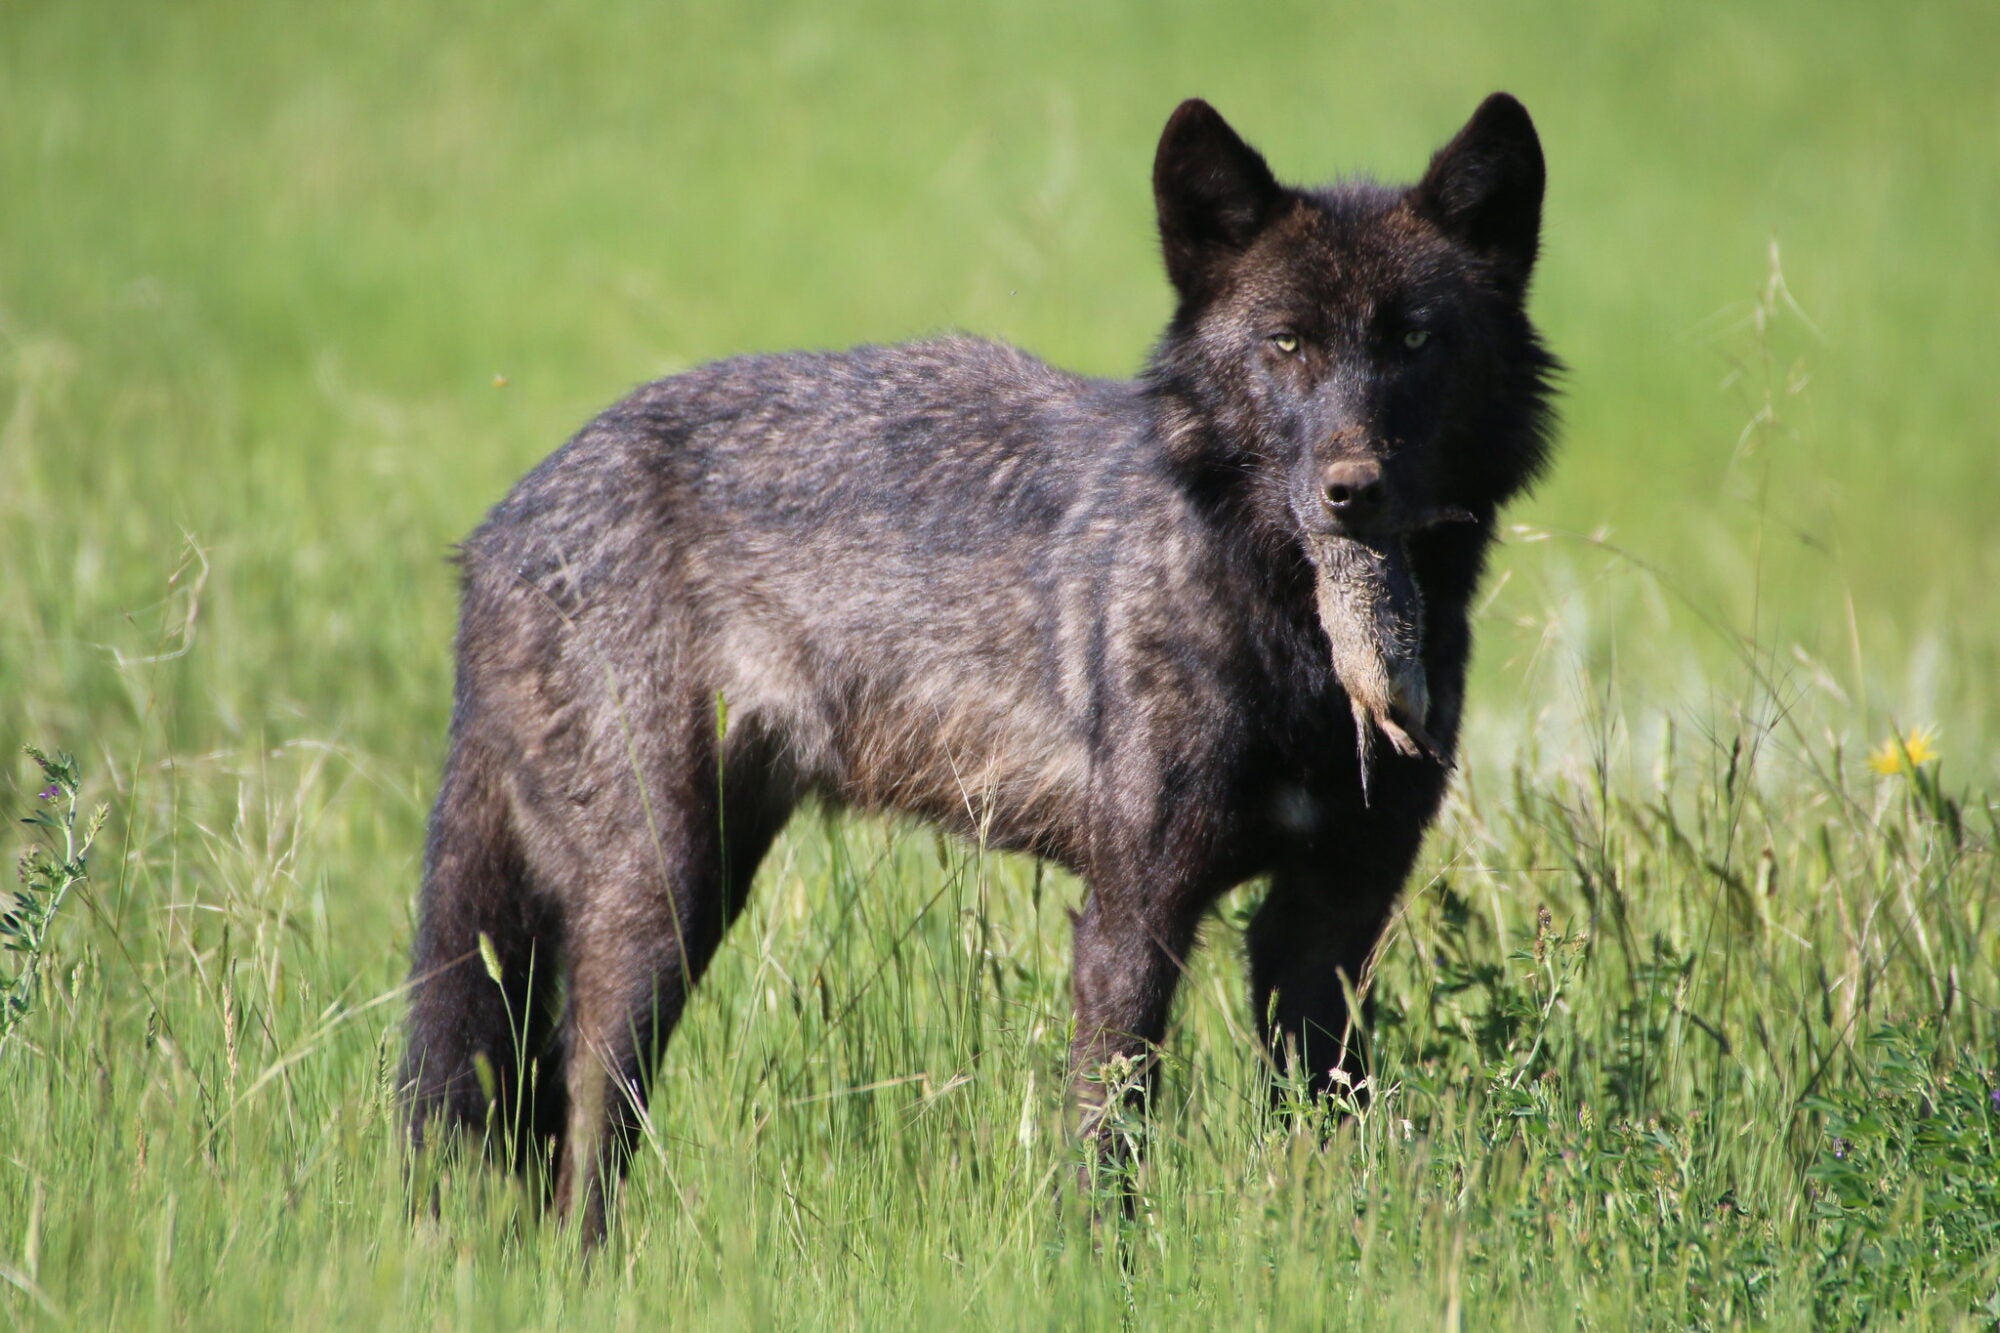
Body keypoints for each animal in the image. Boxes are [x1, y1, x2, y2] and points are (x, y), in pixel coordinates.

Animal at [402, 93, 1556, 1241]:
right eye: (1286, 343)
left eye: (1414, 340)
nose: (1350, 493)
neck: (1289, 646)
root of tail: (502, 524)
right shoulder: (1133, 911)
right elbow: (1109, 1140)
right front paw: (1101, 1267)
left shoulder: (1328, 923)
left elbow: (1329, 1127)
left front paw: (1335, 1248)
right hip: (658, 900)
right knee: (582, 1125)